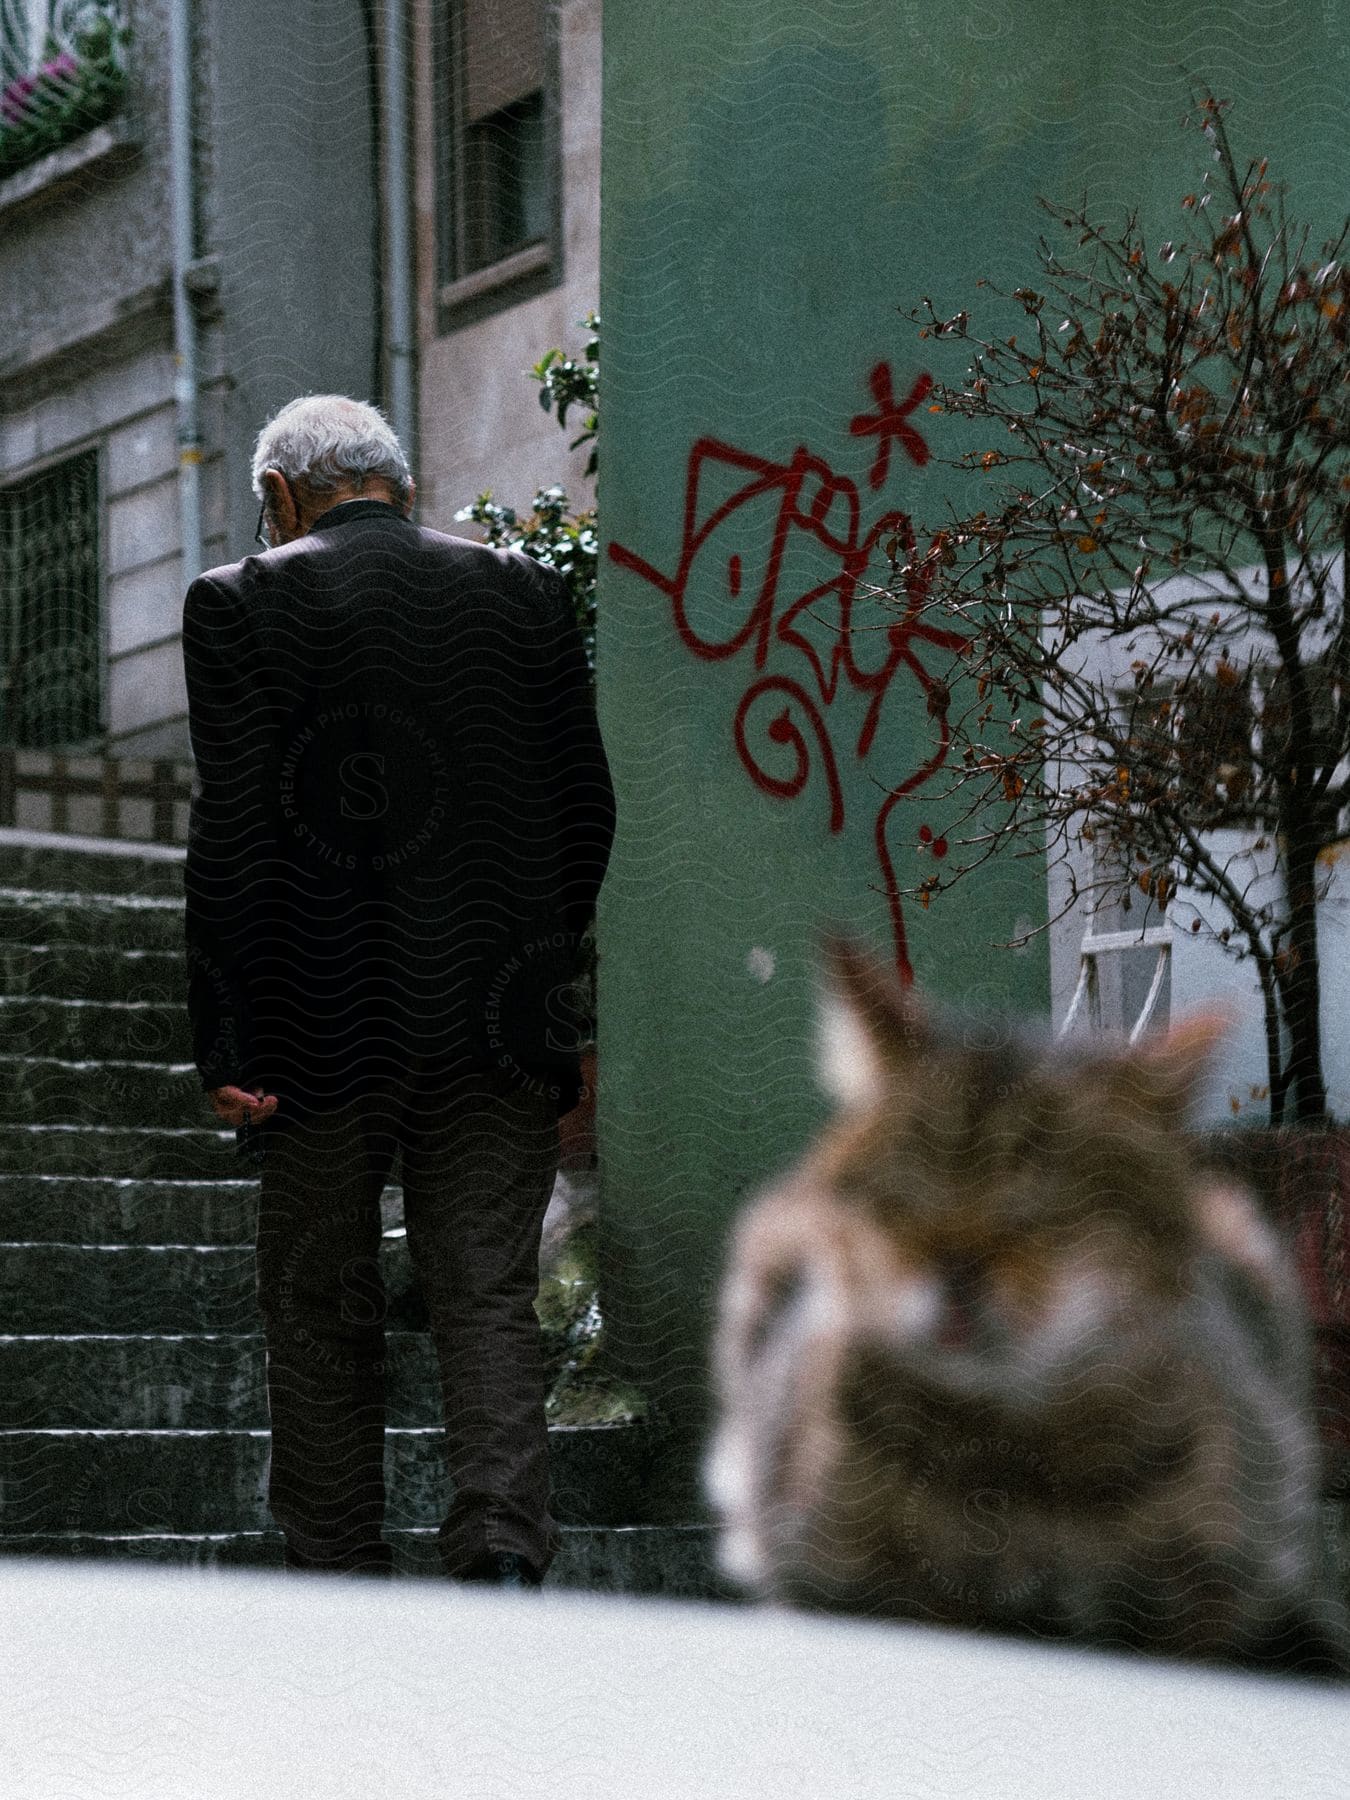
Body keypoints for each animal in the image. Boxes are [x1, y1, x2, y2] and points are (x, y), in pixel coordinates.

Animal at [709, 936, 1350, 1677]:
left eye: (1040, 1214)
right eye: (903, 1199)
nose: (955, 1272)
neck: (1010, 1473)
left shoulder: (1203, 1596)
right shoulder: (843, 1579)